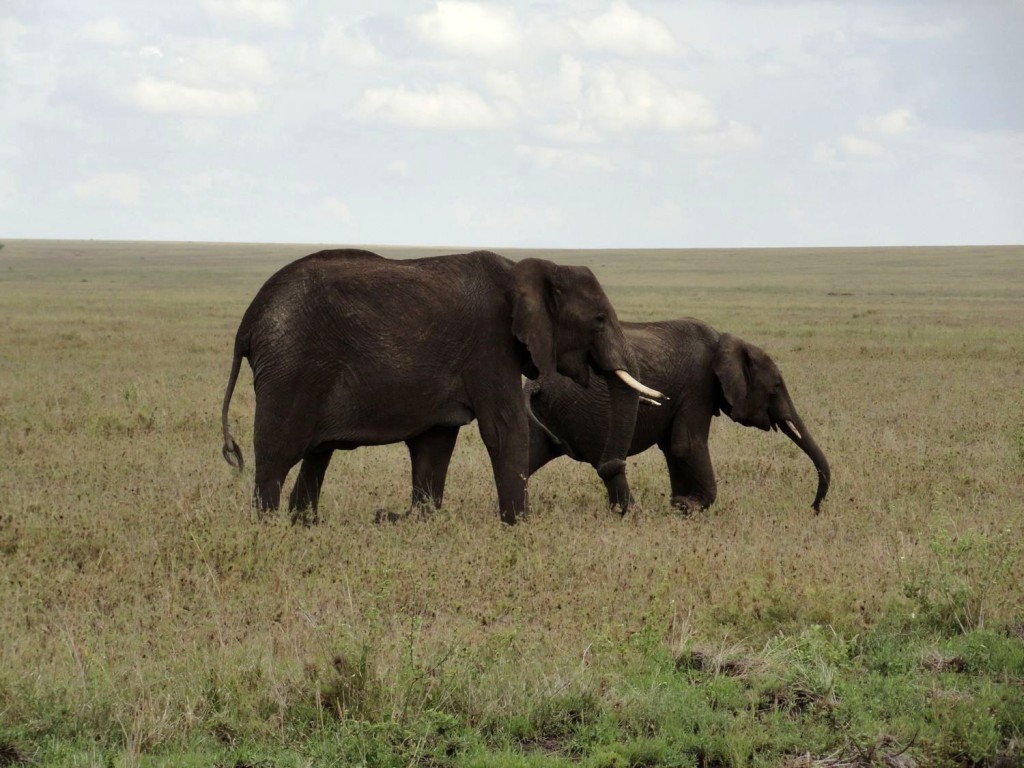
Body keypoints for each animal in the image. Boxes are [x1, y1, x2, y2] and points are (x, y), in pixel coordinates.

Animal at [220, 249, 663, 528]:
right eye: (599, 319)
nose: (611, 469)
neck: (527, 270)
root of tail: (248, 323)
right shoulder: (490, 345)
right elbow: (505, 429)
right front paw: (520, 526)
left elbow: (435, 443)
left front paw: (421, 521)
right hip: (291, 368)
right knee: (277, 456)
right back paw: (268, 529)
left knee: (316, 456)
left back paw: (305, 526)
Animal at [524, 315, 827, 514]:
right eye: (776, 386)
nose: (812, 508)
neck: (724, 341)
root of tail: (537, 383)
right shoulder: (698, 385)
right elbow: (686, 445)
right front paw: (687, 506)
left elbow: (673, 447)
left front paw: (679, 504)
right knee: (606, 464)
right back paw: (630, 515)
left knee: (530, 453)